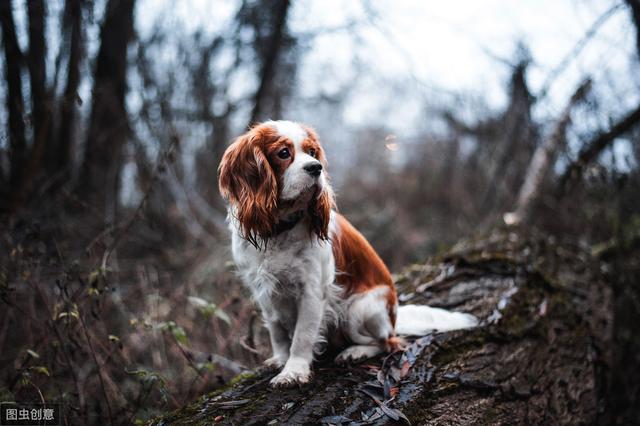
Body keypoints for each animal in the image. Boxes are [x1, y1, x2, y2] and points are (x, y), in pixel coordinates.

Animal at [219, 121, 476, 388]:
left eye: (312, 152)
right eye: (283, 153)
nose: (316, 167)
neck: (280, 228)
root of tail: (394, 318)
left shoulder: (312, 292)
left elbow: (302, 335)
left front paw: (294, 371)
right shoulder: (264, 291)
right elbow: (277, 330)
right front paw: (280, 359)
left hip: (357, 310)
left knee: (388, 343)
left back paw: (354, 352)